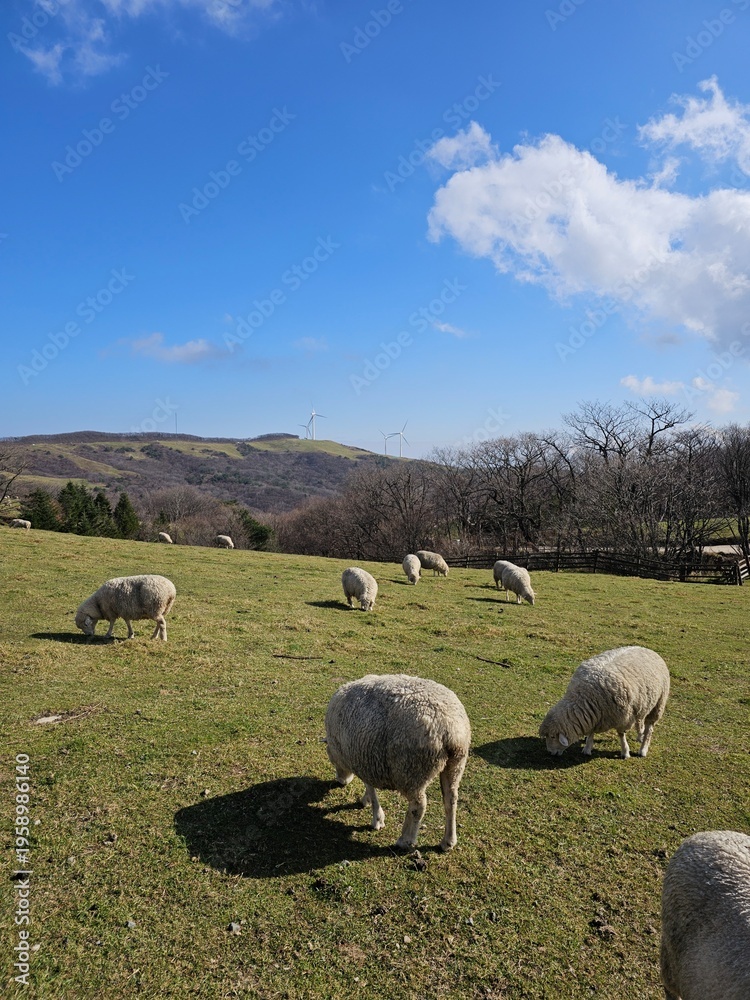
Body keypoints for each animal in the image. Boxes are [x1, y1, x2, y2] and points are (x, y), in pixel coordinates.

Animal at [324, 673, 471, 851]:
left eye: (331, 758)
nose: (340, 781)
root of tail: (449, 729)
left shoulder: (363, 761)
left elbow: (371, 789)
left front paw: (377, 818)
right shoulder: (366, 760)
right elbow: (369, 788)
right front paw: (366, 801)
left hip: (411, 770)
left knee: (418, 806)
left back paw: (405, 840)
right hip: (455, 764)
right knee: (451, 798)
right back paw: (448, 841)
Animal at [539, 646, 669, 759]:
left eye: (552, 736)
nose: (550, 752)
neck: (585, 696)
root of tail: (647, 649)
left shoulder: (623, 717)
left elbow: (621, 735)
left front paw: (625, 752)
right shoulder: (594, 716)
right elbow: (591, 732)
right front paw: (587, 748)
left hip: (658, 703)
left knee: (649, 728)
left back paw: (643, 749)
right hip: (642, 704)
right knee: (640, 721)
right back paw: (640, 736)